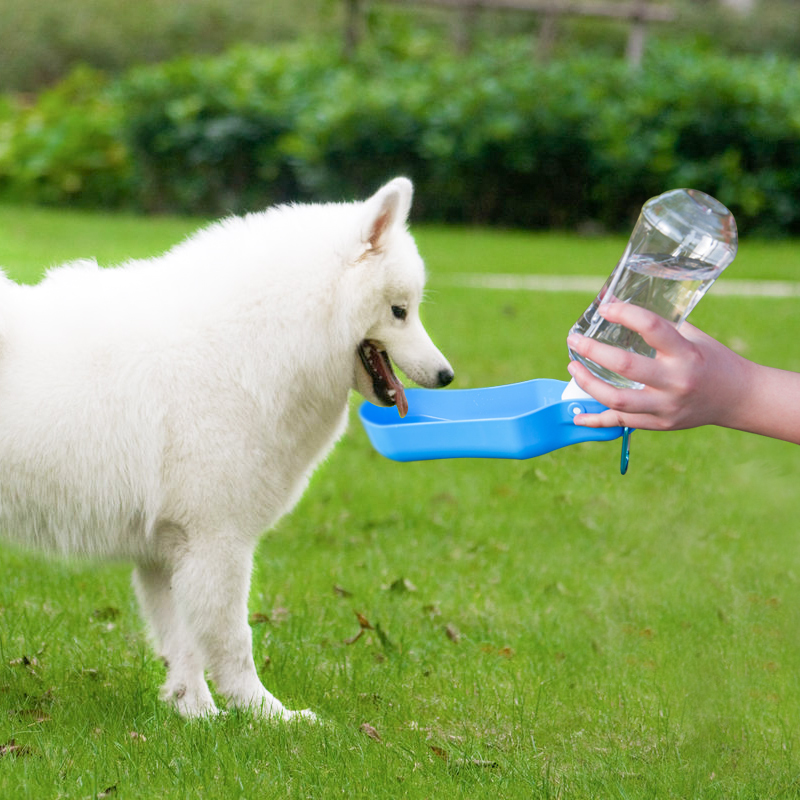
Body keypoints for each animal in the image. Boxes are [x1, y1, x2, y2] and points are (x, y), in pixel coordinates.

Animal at [0, 180, 454, 720]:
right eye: (400, 311)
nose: (447, 375)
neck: (251, 345)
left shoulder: (170, 551)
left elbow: (184, 645)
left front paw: (195, 714)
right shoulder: (217, 542)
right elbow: (232, 640)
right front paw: (265, 715)